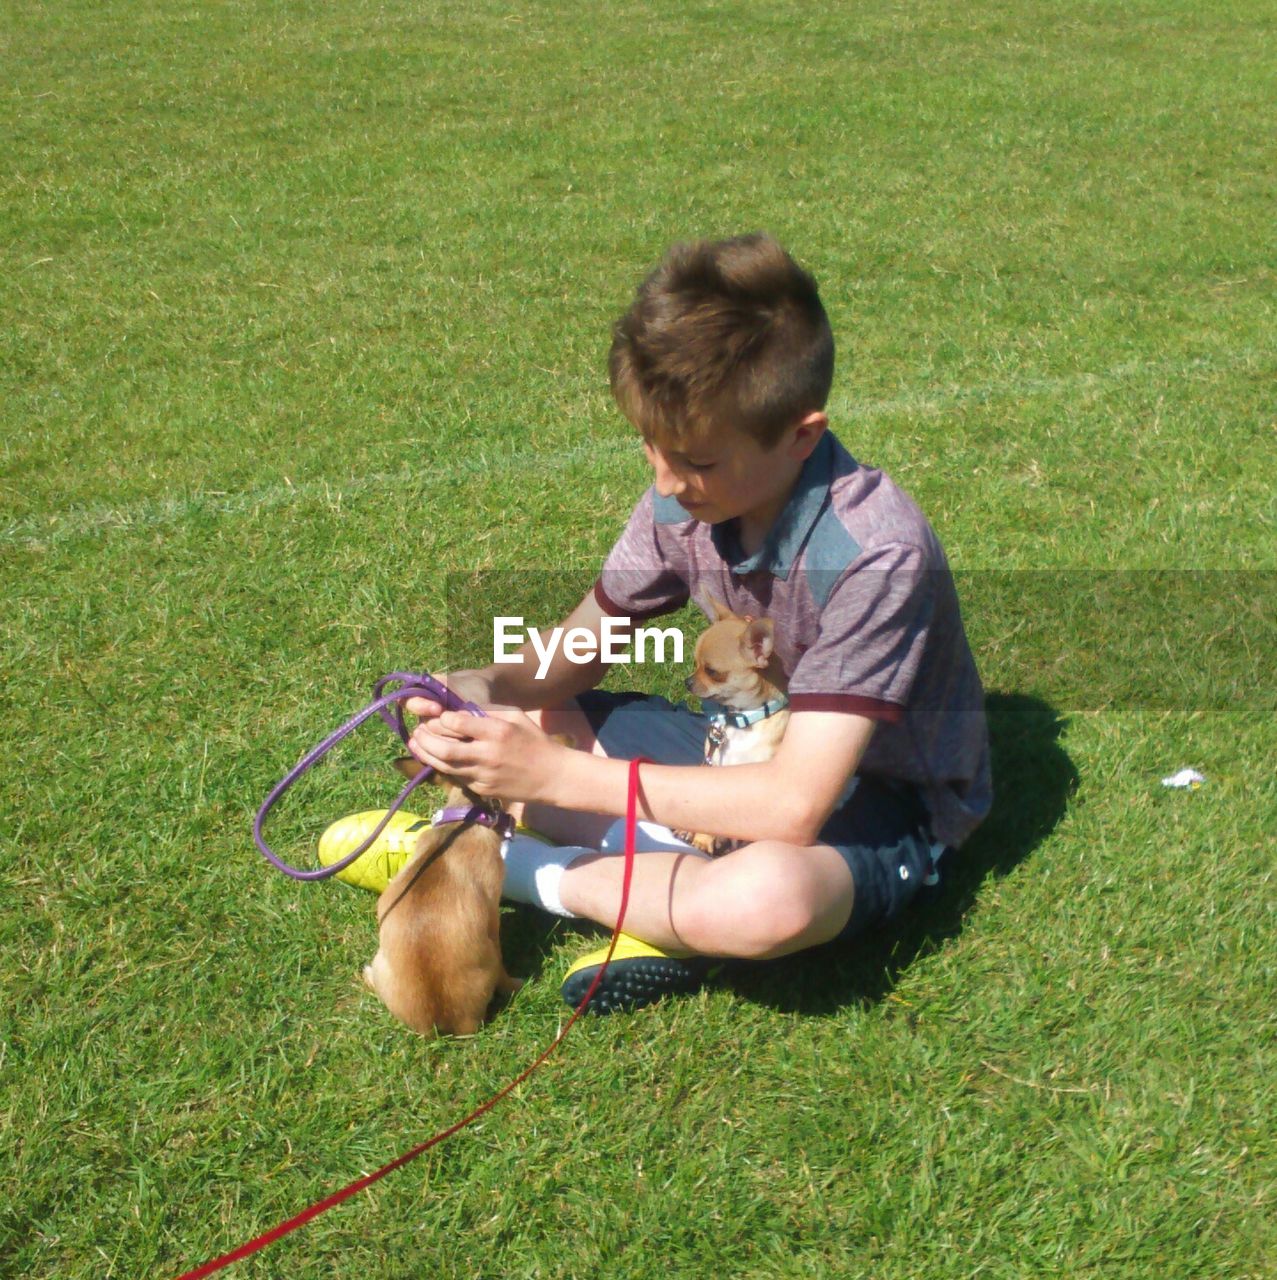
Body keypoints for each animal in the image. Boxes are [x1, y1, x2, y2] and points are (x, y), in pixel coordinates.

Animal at [680, 599, 788, 860]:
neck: (742, 720)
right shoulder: (713, 768)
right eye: (695, 663)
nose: (687, 681)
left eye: (712, 672)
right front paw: (702, 839)